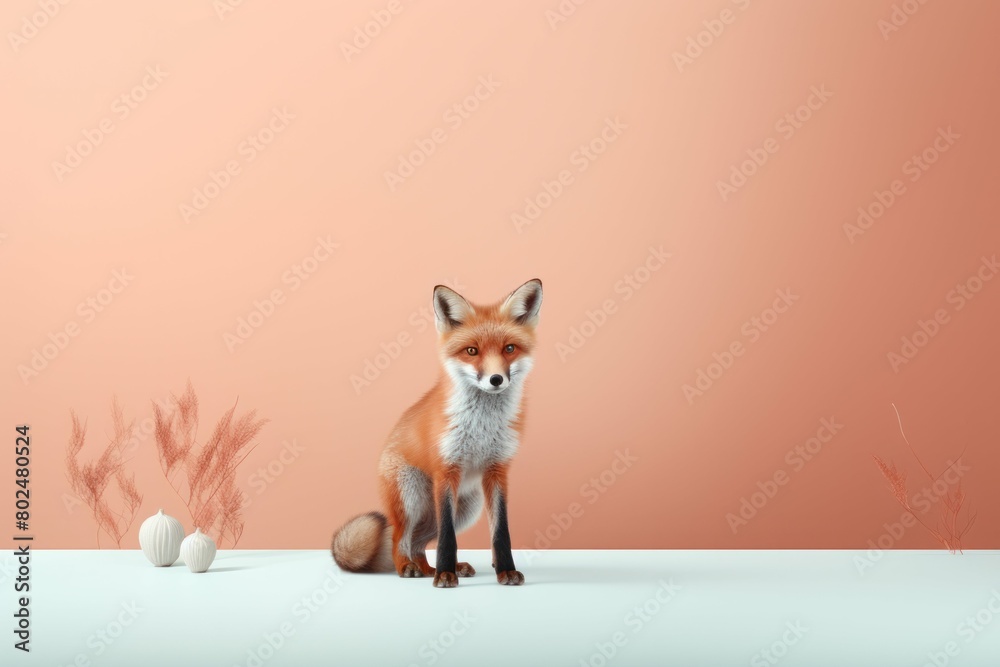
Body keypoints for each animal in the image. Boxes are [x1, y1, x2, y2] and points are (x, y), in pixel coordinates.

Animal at [330, 278, 543, 588]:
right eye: (471, 351)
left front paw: (504, 570)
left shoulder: (497, 470)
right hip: (412, 499)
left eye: (509, 348)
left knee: (419, 543)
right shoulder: (446, 470)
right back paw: (409, 567)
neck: (482, 426)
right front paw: (445, 575)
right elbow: (448, 538)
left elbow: (500, 532)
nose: (496, 380)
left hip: (467, 507)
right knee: (400, 539)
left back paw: (433, 568)